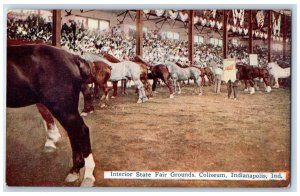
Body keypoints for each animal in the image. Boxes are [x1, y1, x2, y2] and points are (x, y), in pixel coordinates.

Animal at [7, 44, 95, 187]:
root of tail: (72, 57)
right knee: (73, 132)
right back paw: (75, 170)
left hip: (62, 107)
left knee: (81, 131)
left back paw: (87, 175)